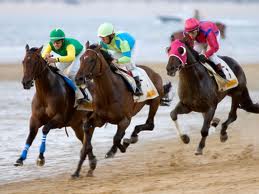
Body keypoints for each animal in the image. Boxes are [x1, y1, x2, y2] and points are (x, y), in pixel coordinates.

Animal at [71, 41, 173, 177]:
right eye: (81, 58)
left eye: (92, 60)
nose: (78, 79)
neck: (108, 93)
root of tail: (153, 72)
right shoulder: (100, 119)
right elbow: (89, 128)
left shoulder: (125, 120)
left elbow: (116, 138)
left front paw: (120, 147)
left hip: (154, 102)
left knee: (150, 124)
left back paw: (131, 138)